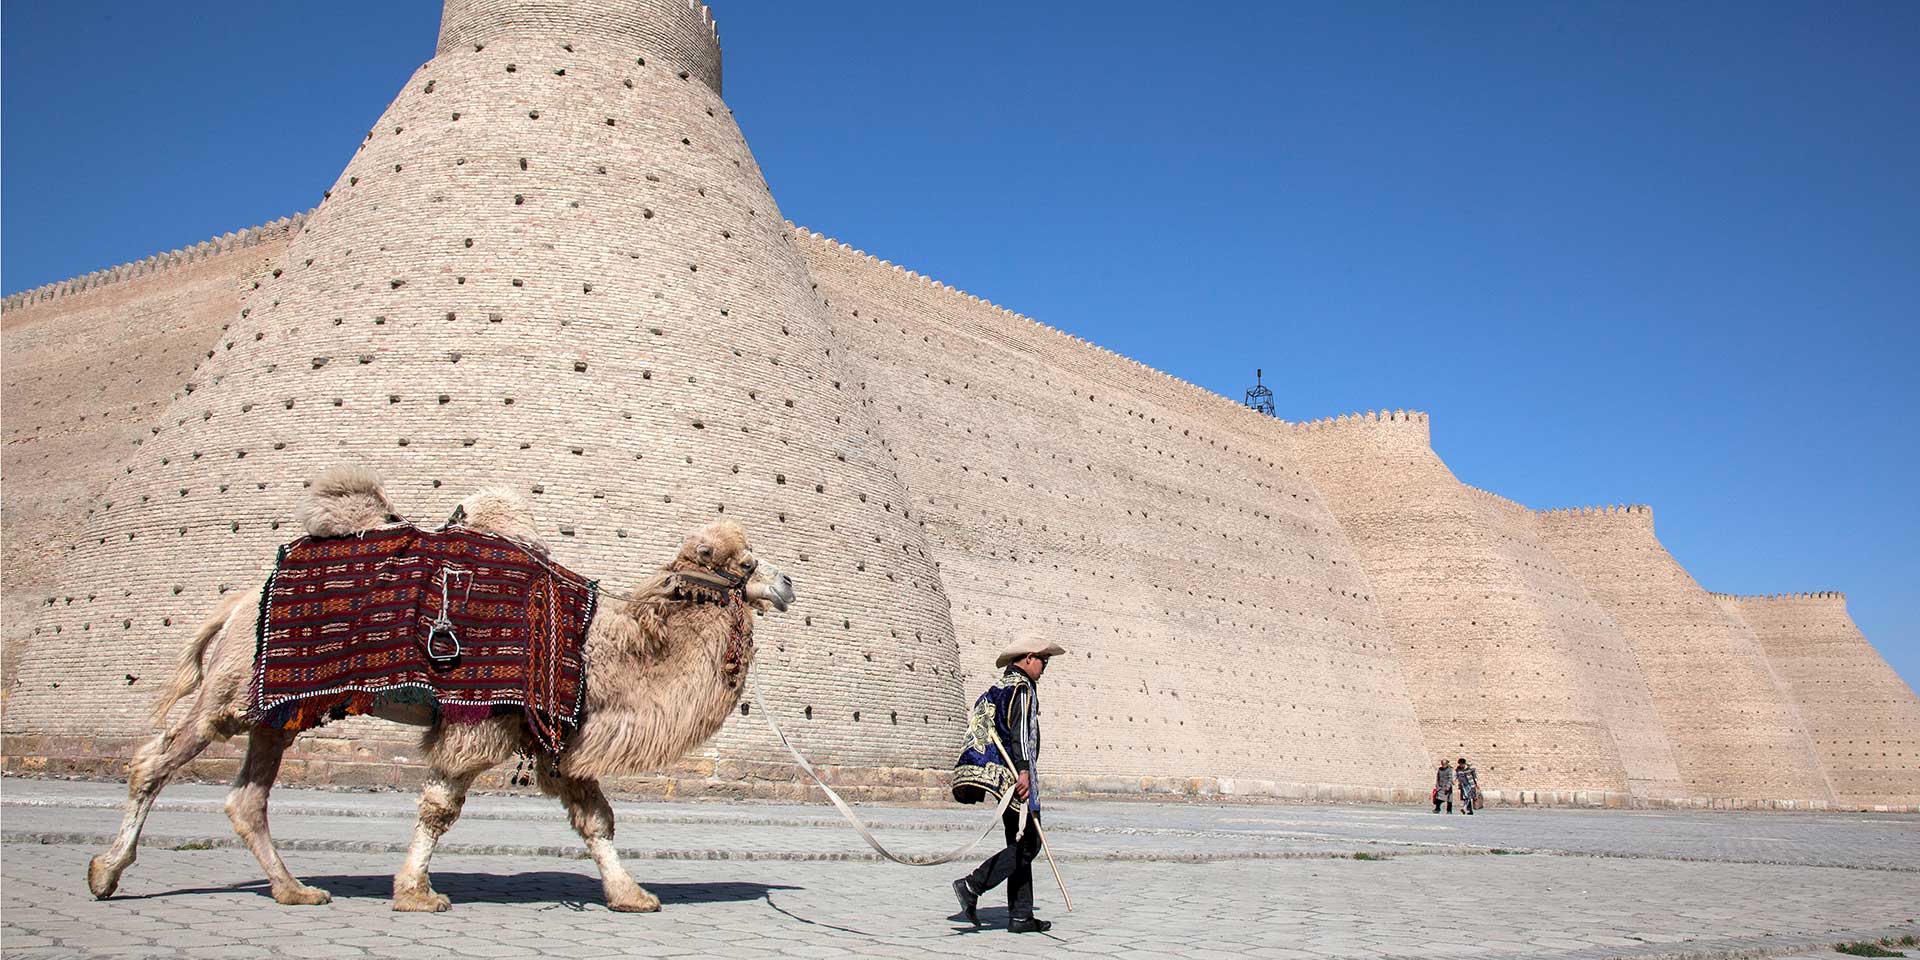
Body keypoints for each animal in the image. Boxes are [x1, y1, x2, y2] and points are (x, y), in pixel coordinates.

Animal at [86, 468, 791, 910]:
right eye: (746, 562)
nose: (785, 585)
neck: (596, 648)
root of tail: (235, 603)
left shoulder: (556, 733)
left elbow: (596, 819)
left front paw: (632, 896)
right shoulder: (483, 721)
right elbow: (439, 807)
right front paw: (416, 892)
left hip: (273, 711)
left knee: (247, 800)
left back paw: (296, 890)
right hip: (230, 695)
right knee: (155, 762)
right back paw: (104, 872)